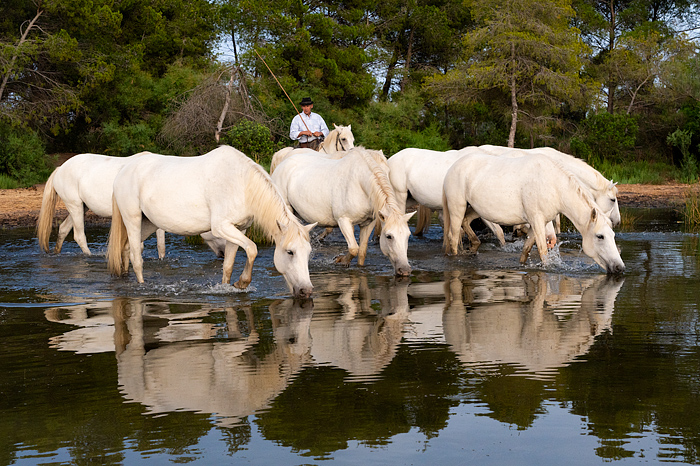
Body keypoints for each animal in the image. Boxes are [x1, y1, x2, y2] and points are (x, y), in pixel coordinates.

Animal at [36, 153, 221, 256]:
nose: (221, 255)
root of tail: (60, 168)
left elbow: (160, 245)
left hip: (81, 207)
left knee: (63, 229)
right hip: (74, 205)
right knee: (79, 236)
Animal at [106, 146, 314, 298]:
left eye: (308, 253)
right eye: (290, 252)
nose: (306, 290)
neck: (242, 183)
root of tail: (124, 169)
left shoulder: (239, 230)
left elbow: (229, 265)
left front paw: (229, 286)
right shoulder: (221, 227)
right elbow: (253, 249)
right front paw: (242, 282)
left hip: (149, 223)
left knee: (125, 248)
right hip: (132, 220)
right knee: (136, 258)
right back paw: (141, 286)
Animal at [272, 147, 416, 274]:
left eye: (408, 235)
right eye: (389, 236)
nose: (405, 270)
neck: (360, 184)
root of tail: (282, 163)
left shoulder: (368, 224)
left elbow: (361, 251)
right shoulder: (344, 221)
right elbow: (353, 249)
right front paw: (341, 260)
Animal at [442, 151, 624, 274]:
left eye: (613, 235)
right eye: (600, 236)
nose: (619, 267)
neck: (554, 185)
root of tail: (453, 168)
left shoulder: (537, 224)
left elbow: (526, 249)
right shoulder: (537, 221)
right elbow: (543, 251)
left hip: (474, 209)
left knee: (466, 223)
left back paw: (474, 245)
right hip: (457, 207)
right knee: (453, 237)